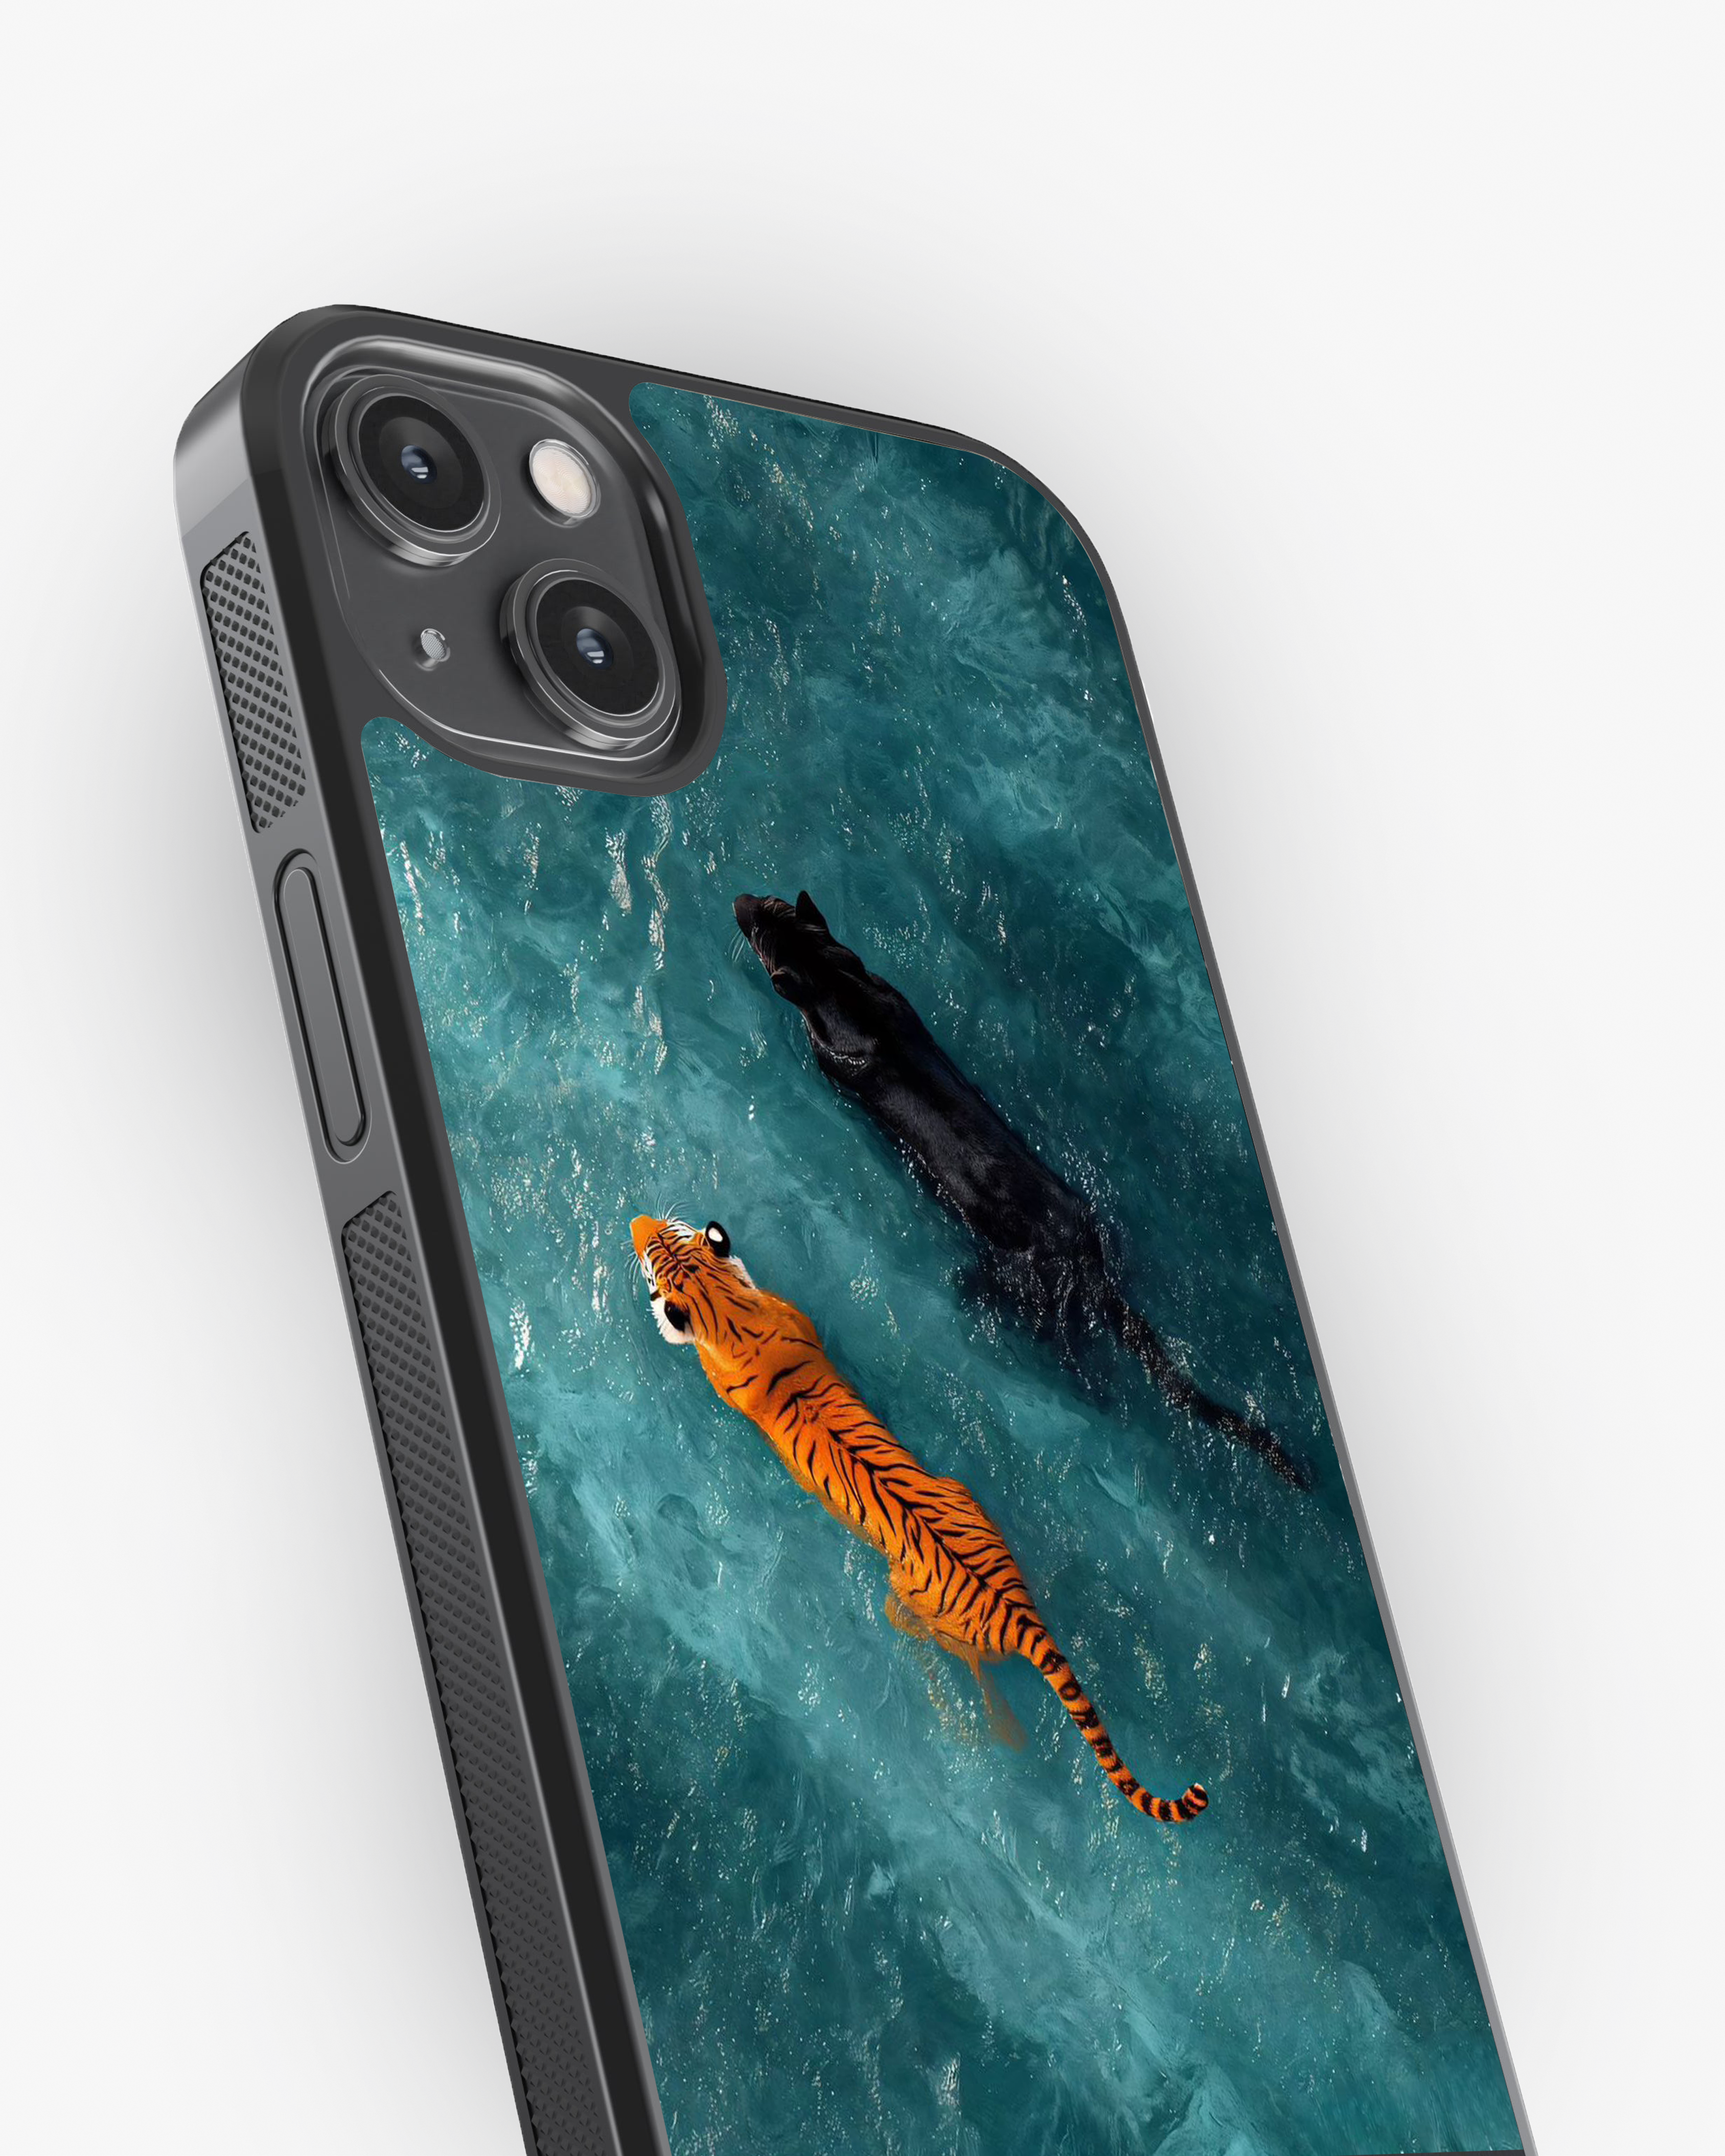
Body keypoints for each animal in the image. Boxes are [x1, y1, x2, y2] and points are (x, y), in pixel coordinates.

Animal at [630, 1214, 1208, 1823]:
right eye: (664, 1236)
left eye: (653, 1255)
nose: (638, 1222)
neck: (730, 1310)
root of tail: (1019, 1616)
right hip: (965, 1494)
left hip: (909, 1602)